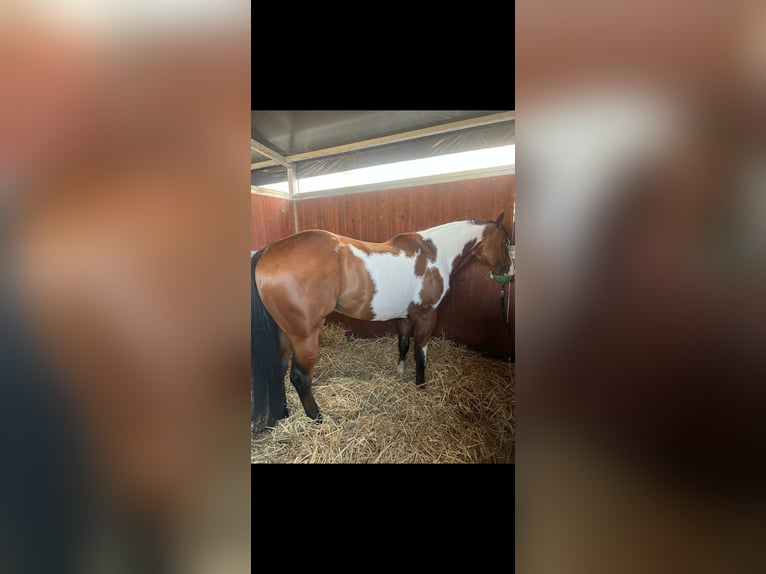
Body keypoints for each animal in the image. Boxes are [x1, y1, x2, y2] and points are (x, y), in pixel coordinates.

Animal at [251, 213, 514, 430]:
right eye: (505, 243)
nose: (509, 273)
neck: (435, 254)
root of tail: (267, 250)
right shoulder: (426, 316)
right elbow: (421, 354)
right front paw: (421, 386)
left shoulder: (405, 316)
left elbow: (403, 345)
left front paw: (400, 373)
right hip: (305, 335)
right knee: (300, 377)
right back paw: (317, 419)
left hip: (284, 332)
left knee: (279, 368)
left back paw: (283, 414)